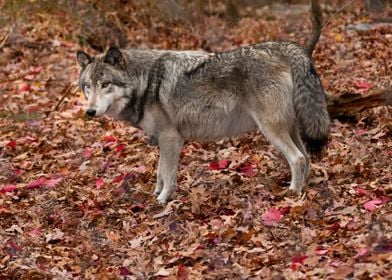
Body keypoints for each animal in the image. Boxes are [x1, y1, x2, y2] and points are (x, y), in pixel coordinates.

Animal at [76, 41, 328, 203]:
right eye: (88, 86)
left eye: (105, 84)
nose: (90, 111)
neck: (145, 83)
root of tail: (284, 47)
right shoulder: (164, 140)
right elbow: (160, 172)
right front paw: (156, 195)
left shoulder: (171, 138)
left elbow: (168, 174)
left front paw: (162, 201)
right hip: (288, 128)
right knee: (306, 157)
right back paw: (304, 187)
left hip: (270, 129)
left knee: (297, 158)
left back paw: (293, 193)